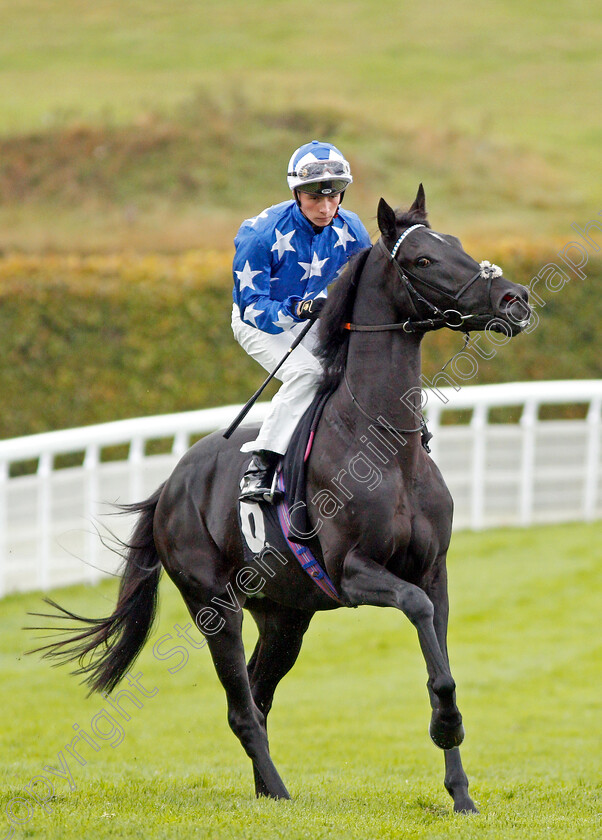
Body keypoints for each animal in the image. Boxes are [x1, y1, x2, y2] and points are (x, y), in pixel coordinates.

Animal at [34, 185, 528, 812]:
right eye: (422, 259)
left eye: (457, 244)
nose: (515, 299)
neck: (384, 444)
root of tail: (171, 486)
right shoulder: (352, 572)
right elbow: (417, 615)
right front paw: (447, 728)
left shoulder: (434, 568)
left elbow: (440, 660)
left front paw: (460, 791)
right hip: (213, 605)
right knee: (242, 707)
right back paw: (278, 790)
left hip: (284, 615)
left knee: (259, 694)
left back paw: (267, 792)